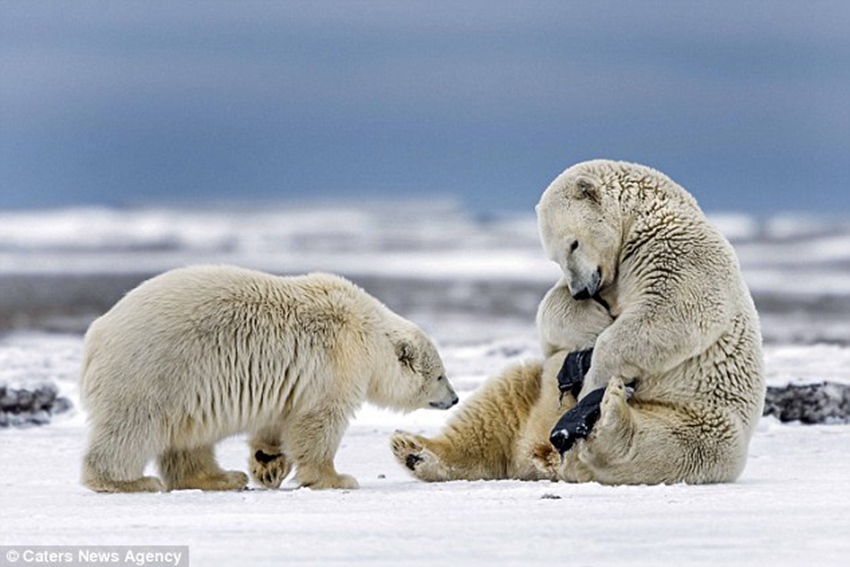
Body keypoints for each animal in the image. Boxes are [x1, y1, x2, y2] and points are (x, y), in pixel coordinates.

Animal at [83, 266, 458, 492]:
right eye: (441, 375)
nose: (454, 398)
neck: (365, 331)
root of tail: (95, 335)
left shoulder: (296, 380)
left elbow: (280, 419)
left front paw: (267, 464)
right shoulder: (336, 362)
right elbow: (319, 423)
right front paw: (337, 478)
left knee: (188, 439)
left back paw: (222, 477)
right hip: (154, 371)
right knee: (131, 430)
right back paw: (129, 482)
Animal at [394, 161, 764, 488]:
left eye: (573, 243)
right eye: (554, 256)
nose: (582, 291)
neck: (640, 220)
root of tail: (545, 455)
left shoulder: (676, 247)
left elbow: (674, 308)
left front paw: (597, 373)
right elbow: (551, 309)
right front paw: (593, 321)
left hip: (705, 417)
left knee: (670, 445)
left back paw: (609, 415)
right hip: (535, 389)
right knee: (497, 405)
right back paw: (415, 451)